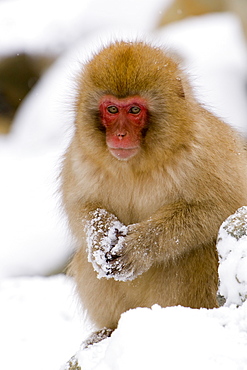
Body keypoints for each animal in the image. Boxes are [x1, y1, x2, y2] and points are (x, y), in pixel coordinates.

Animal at [60, 42, 247, 342]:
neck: (137, 164)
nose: (120, 135)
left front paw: (137, 247)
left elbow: (220, 207)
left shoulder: (204, 148)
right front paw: (100, 235)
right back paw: (110, 328)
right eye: (112, 109)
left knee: (198, 251)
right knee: (85, 256)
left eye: (135, 110)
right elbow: (81, 206)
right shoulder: (81, 157)